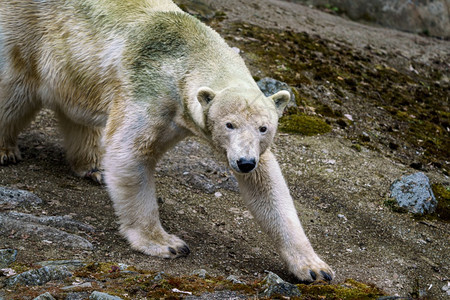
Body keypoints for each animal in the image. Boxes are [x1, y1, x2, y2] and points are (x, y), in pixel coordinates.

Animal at [0, 0, 334, 282]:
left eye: (264, 128)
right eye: (229, 124)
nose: (244, 162)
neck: (189, 52)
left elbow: (268, 185)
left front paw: (314, 267)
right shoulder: (149, 90)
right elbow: (129, 152)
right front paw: (167, 244)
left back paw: (92, 167)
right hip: (27, 36)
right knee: (13, 92)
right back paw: (7, 151)